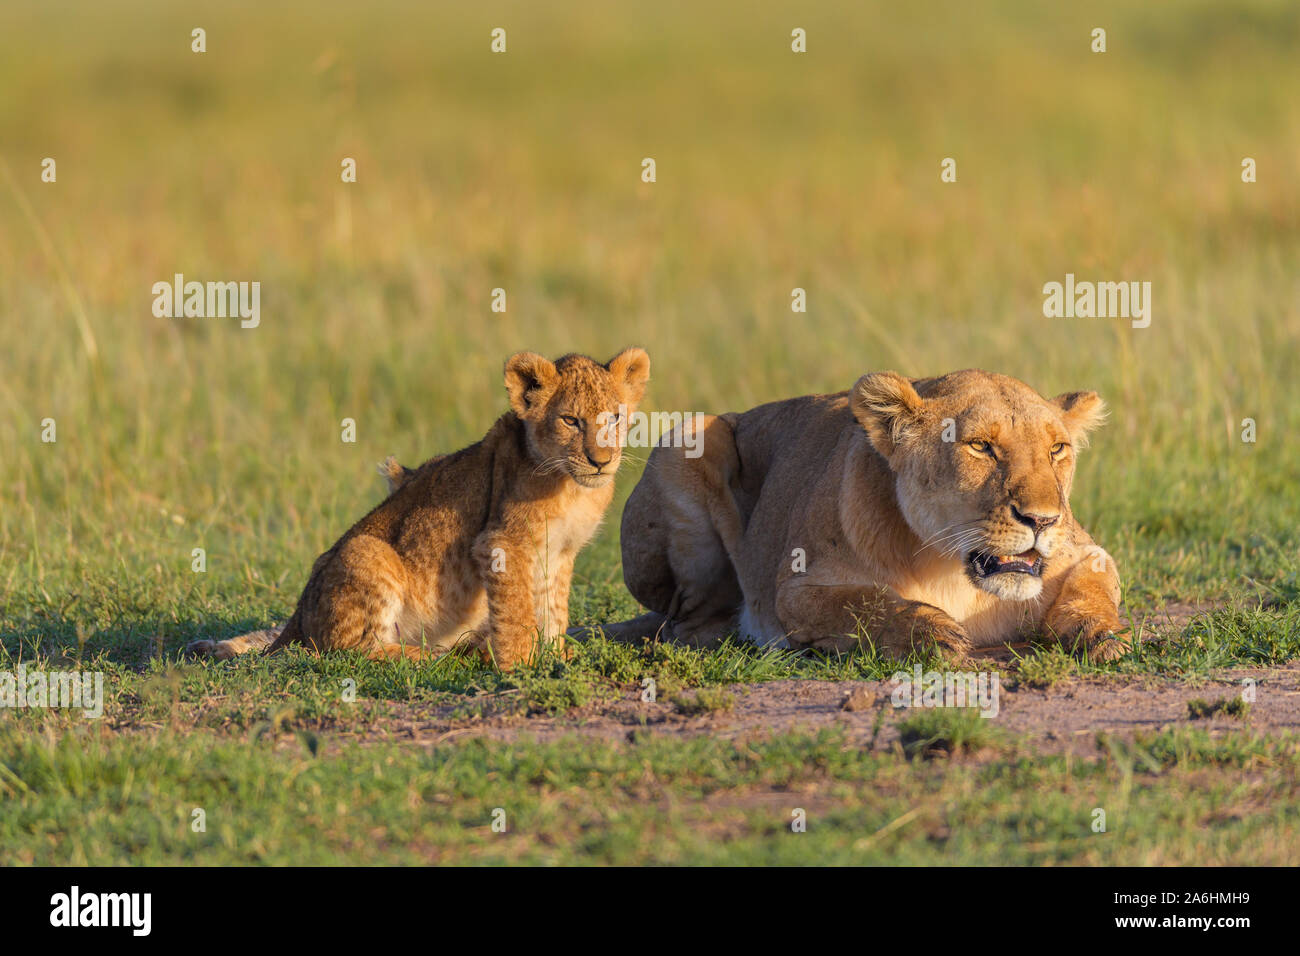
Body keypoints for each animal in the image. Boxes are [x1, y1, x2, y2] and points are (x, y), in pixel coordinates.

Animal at [187, 347, 651, 669]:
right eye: (571, 421)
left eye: (614, 417)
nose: (601, 460)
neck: (573, 487)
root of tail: (295, 621)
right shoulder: (502, 542)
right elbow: (518, 610)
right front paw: (521, 665)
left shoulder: (559, 553)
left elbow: (553, 607)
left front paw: (555, 655)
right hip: (367, 552)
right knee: (353, 652)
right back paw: (435, 656)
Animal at [596, 369, 1128, 664]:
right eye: (981, 446)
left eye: (1057, 449)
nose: (1043, 520)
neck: (952, 569)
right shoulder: (797, 587)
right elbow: (867, 603)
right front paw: (933, 633)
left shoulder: (1089, 552)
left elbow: (1094, 591)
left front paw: (1104, 637)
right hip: (688, 437)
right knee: (682, 623)